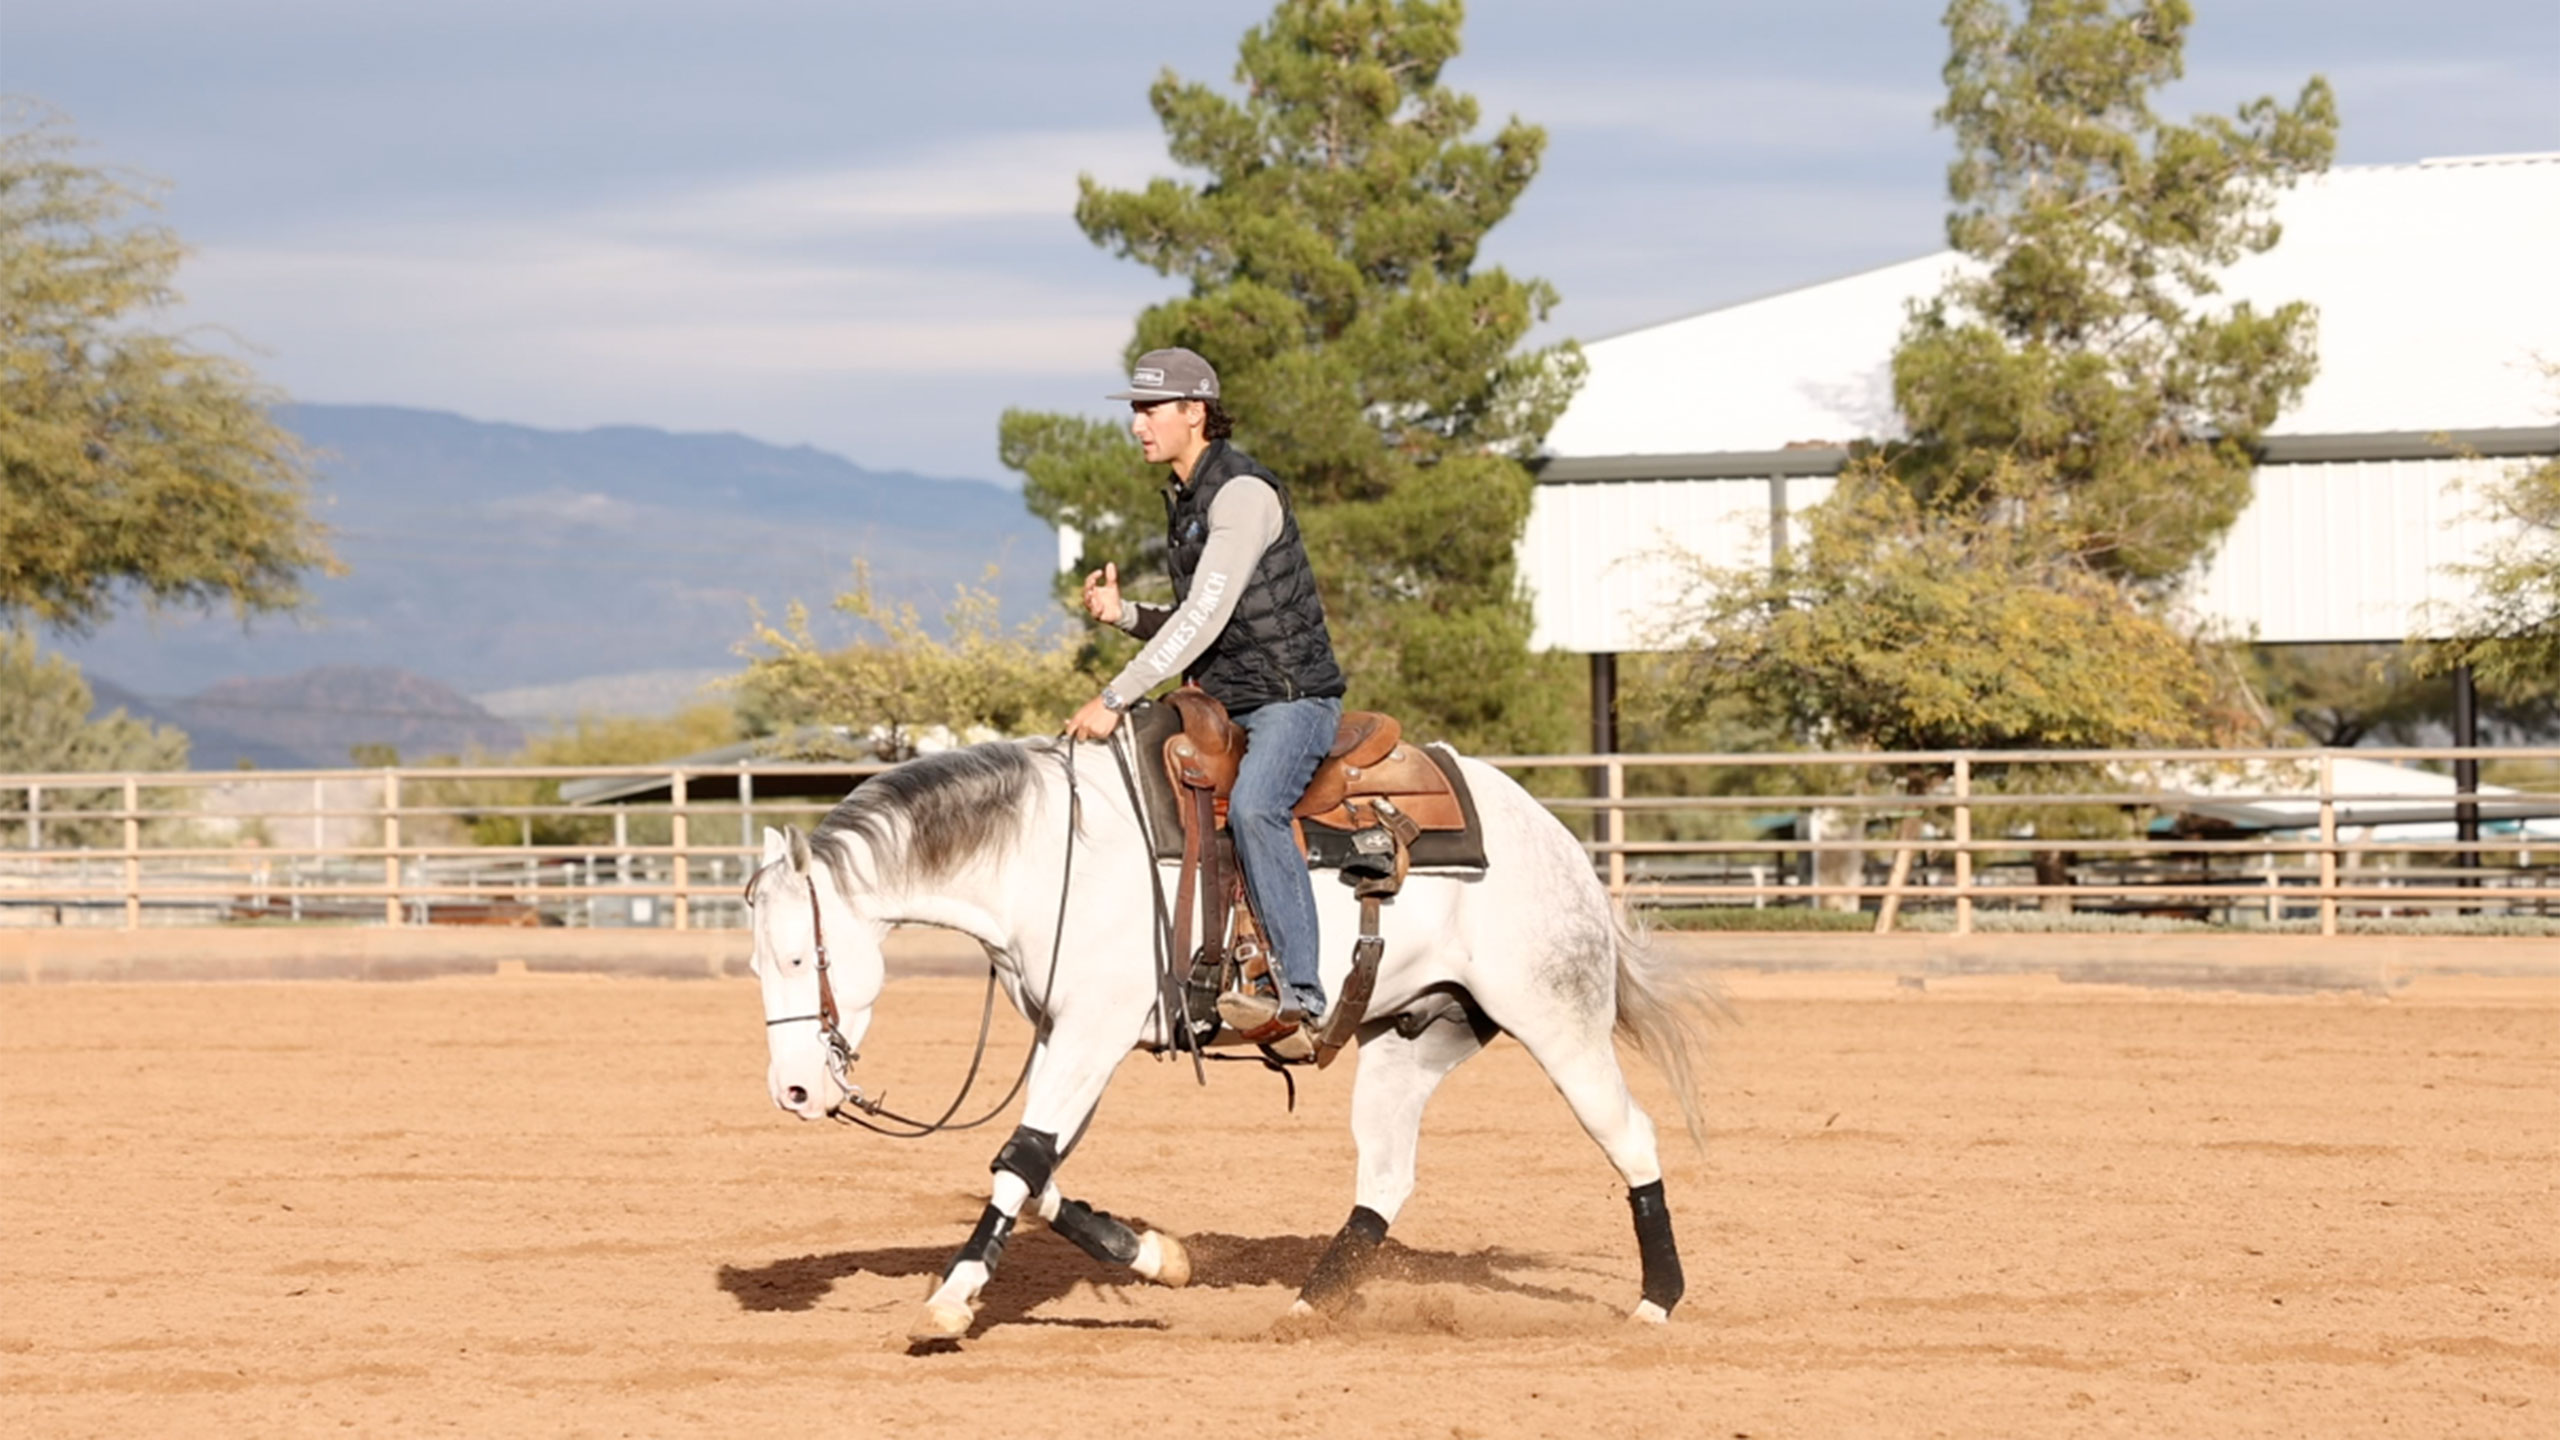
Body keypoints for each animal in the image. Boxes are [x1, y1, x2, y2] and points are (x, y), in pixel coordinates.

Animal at [743, 732, 1709, 1343]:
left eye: (795, 955)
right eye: (755, 962)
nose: (792, 1091)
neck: (1047, 858)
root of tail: (1555, 839)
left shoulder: (1090, 1032)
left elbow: (1018, 1161)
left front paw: (949, 1302)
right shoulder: (1068, 1036)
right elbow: (1039, 1168)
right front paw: (1156, 1257)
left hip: (1557, 1018)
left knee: (1631, 1140)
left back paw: (1658, 1303)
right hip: (1409, 1039)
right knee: (1385, 1180)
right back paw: (1307, 1311)